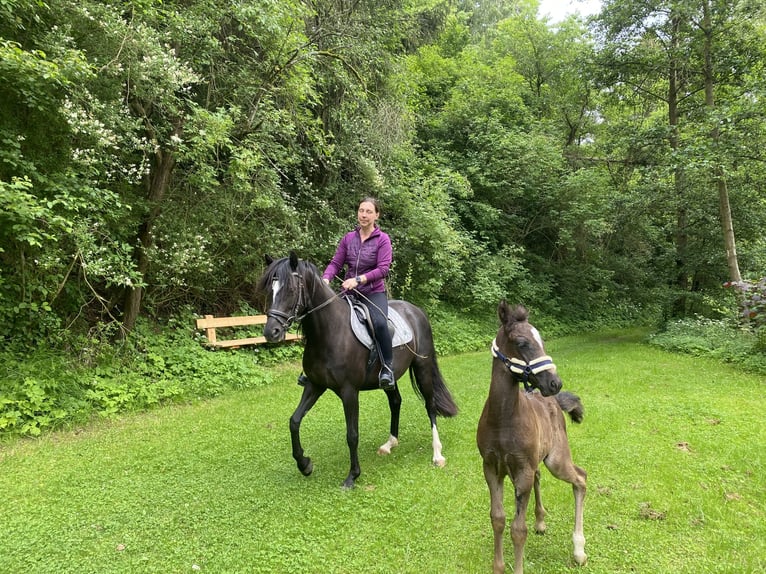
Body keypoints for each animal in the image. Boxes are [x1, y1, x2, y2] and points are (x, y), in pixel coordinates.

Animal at [258, 254, 460, 488]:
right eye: (270, 290)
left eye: (290, 289)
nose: (271, 332)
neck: (330, 332)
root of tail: (416, 311)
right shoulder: (315, 385)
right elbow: (294, 421)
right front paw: (304, 464)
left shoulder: (349, 391)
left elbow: (352, 434)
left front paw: (352, 476)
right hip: (390, 378)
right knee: (396, 402)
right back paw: (389, 444)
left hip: (423, 368)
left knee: (430, 406)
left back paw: (437, 455)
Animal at [476, 304, 592, 572]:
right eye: (522, 342)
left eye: (542, 341)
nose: (555, 382)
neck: (503, 419)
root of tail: (555, 402)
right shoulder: (491, 467)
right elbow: (497, 518)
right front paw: (498, 567)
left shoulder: (523, 470)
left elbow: (518, 530)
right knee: (542, 477)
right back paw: (541, 521)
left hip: (556, 460)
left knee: (580, 478)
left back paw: (579, 550)